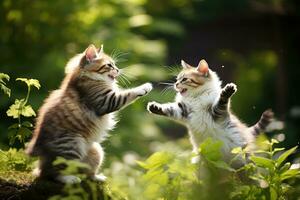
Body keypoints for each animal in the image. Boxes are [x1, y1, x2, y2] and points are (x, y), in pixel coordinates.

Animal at [25, 43, 152, 183]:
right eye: (109, 65)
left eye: (114, 65)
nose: (118, 70)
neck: (87, 76)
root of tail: (41, 159)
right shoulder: (106, 101)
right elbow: (127, 94)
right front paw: (145, 87)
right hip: (72, 144)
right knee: (55, 172)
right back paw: (69, 179)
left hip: (96, 151)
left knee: (86, 173)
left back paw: (97, 177)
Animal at [146, 59, 282, 164]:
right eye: (177, 79)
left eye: (184, 79)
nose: (175, 85)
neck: (196, 97)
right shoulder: (183, 111)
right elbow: (169, 109)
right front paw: (154, 107)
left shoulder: (218, 113)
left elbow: (221, 101)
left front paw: (227, 91)